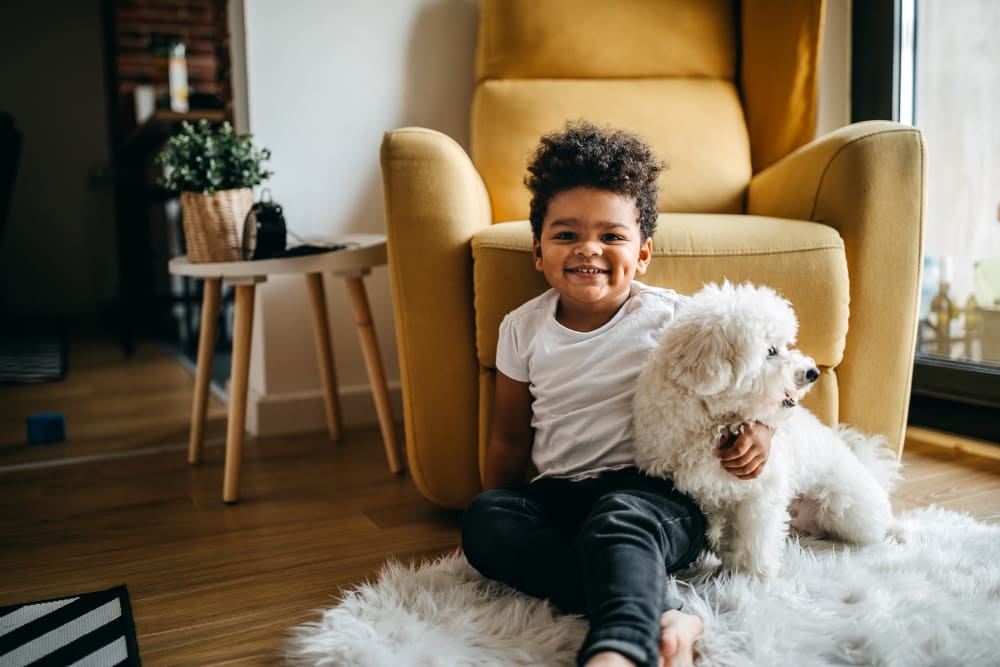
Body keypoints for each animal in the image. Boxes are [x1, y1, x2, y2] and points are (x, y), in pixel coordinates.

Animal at [636, 282, 904, 580]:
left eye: (784, 344)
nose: (812, 372)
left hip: (847, 509)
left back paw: (898, 532)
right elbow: (717, 524)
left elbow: (754, 538)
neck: (714, 421)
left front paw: (749, 576)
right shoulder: (699, 489)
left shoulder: (760, 492)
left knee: (878, 521)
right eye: (770, 351)